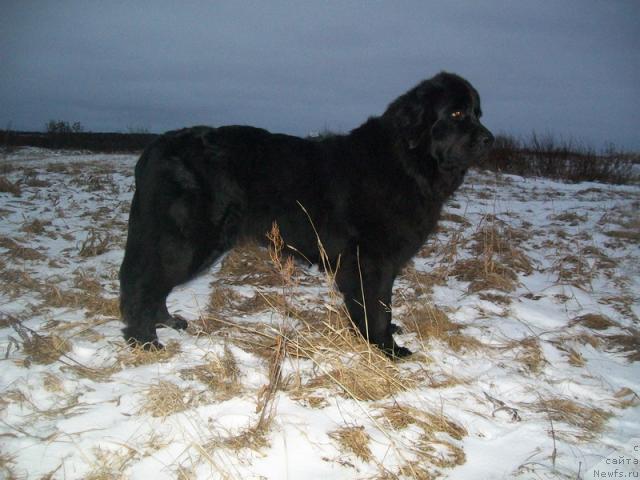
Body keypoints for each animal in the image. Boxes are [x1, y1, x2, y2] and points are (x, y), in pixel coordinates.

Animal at [120, 71, 492, 356]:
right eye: (456, 115)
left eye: (477, 113)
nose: (489, 140)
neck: (405, 162)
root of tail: (156, 146)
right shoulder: (370, 260)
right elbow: (376, 306)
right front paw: (386, 347)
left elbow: (380, 303)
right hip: (187, 241)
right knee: (145, 282)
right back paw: (144, 339)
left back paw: (165, 323)